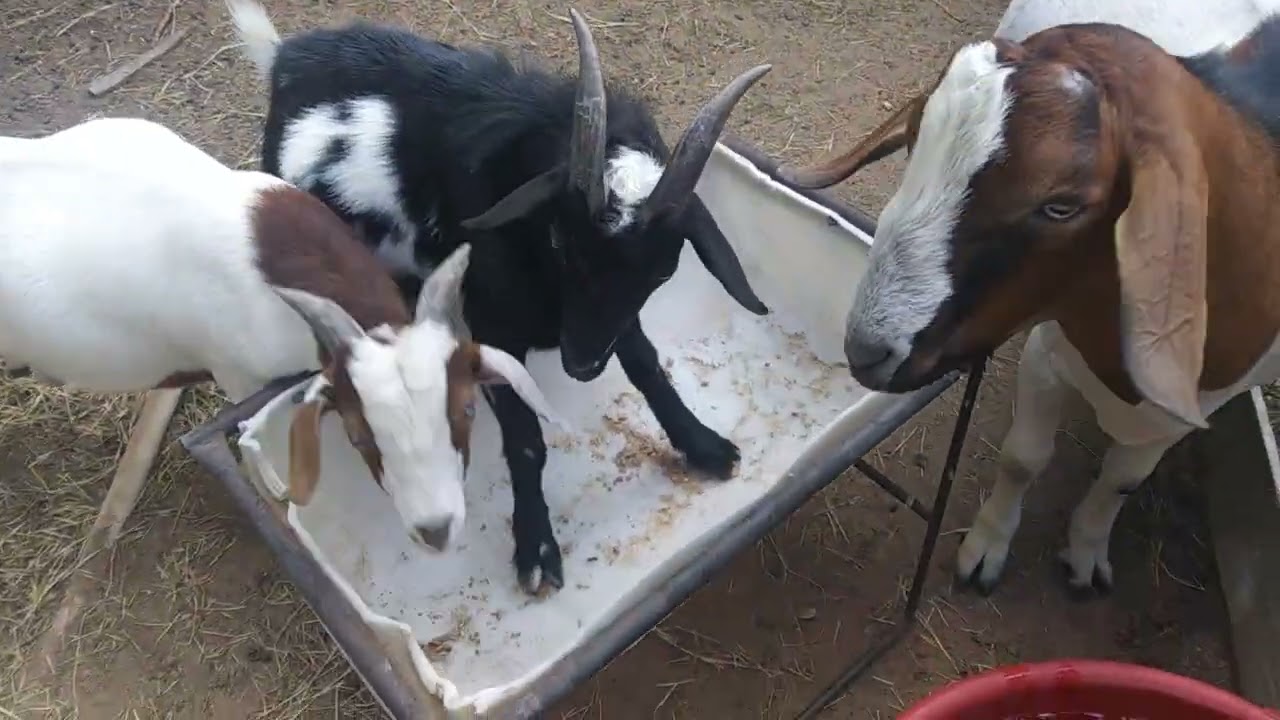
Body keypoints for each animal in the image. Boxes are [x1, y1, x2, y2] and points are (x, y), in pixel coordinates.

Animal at [225, 0, 772, 594]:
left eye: (662, 271)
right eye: (560, 241)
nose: (580, 366)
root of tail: (286, 58)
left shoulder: (610, 322)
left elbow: (646, 365)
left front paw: (704, 445)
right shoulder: (494, 328)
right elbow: (526, 438)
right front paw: (536, 548)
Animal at [776, 0, 1280, 595]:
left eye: (1061, 206)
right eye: (914, 142)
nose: (867, 350)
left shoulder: (1192, 410)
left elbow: (1122, 480)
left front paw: (1086, 551)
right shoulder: (1048, 349)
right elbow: (1024, 458)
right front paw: (986, 551)